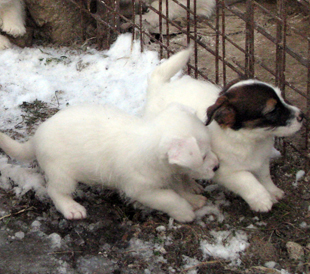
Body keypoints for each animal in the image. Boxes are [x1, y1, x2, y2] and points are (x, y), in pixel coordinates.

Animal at [0, 103, 218, 223]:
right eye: (203, 156)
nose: (217, 166)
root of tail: (36, 137)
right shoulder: (142, 190)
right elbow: (170, 198)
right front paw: (184, 211)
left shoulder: (170, 173)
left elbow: (179, 188)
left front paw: (193, 199)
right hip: (62, 174)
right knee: (56, 191)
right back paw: (71, 208)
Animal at [144, 48, 304, 213]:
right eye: (273, 111)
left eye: (281, 98)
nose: (302, 116)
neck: (249, 140)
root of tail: (159, 87)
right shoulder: (225, 171)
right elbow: (247, 179)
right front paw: (262, 200)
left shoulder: (262, 160)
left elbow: (265, 176)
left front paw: (273, 191)